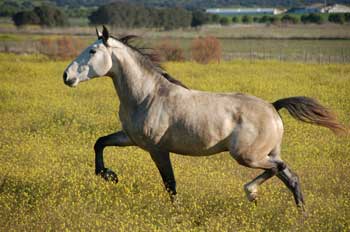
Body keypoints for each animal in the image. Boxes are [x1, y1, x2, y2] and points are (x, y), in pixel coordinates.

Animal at [62, 26, 344, 209]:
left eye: (92, 51)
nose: (66, 76)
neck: (147, 96)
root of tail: (273, 107)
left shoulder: (157, 149)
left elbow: (170, 184)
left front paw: (175, 212)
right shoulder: (130, 138)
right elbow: (100, 142)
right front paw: (109, 175)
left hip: (248, 156)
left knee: (279, 169)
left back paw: (251, 193)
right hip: (266, 153)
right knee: (291, 177)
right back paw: (300, 215)